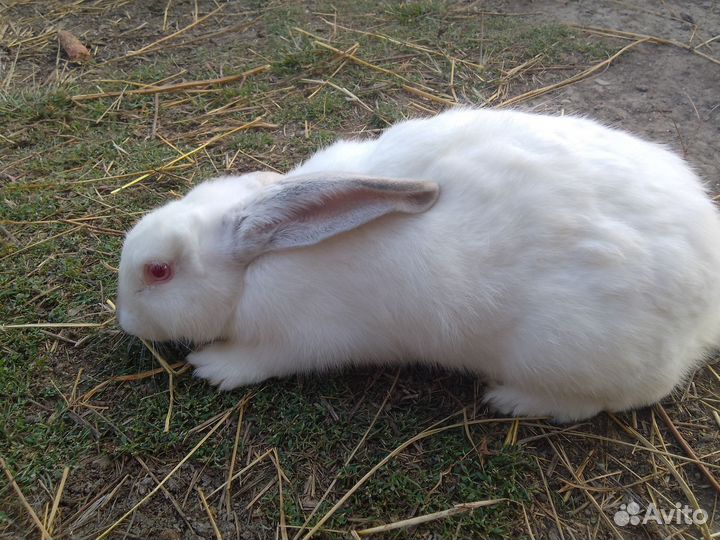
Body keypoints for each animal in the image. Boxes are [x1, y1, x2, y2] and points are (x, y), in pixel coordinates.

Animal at [116, 108, 720, 422]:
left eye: (159, 271)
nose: (124, 321)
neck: (256, 264)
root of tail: (702, 317)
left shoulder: (305, 338)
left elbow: (265, 360)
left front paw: (212, 366)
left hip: (568, 354)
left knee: (607, 402)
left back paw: (511, 398)